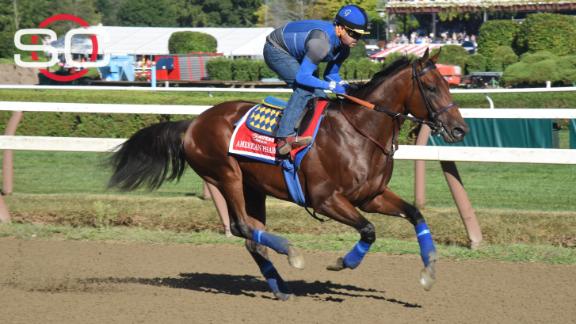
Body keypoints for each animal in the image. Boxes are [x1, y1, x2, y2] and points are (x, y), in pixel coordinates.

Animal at [107, 49, 468, 300]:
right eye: (432, 87)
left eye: (449, 84)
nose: (459, 129)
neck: (359, 132)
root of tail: (192, 123)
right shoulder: (325, 199)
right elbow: (368, 230)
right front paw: (343, 262)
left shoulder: (371, 197)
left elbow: (415, 213)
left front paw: (429, 270)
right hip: (226, 175)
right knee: (242, 227)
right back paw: (291, 254)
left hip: (254, 188)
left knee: (252, 238)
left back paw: (281, 286)